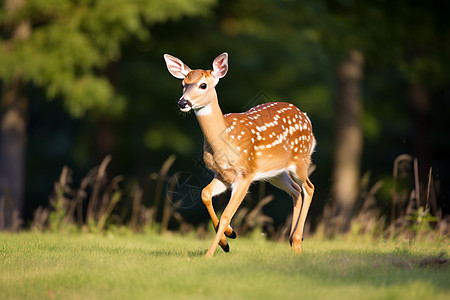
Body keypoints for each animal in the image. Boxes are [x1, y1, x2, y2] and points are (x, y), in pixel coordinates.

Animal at [163, 52, 314, 258]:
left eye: (203, 85)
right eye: (183, 84)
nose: (183, 102)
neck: (224, 143)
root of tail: (305, 116)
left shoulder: (245, 174)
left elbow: (227, 214)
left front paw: (210, 253)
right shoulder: (223, 175)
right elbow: (204, 194)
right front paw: (228, 237)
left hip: (300, 161)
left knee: (308, 188)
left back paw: (297, 241)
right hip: (276, 173)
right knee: (296, 191)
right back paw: (293, 243)